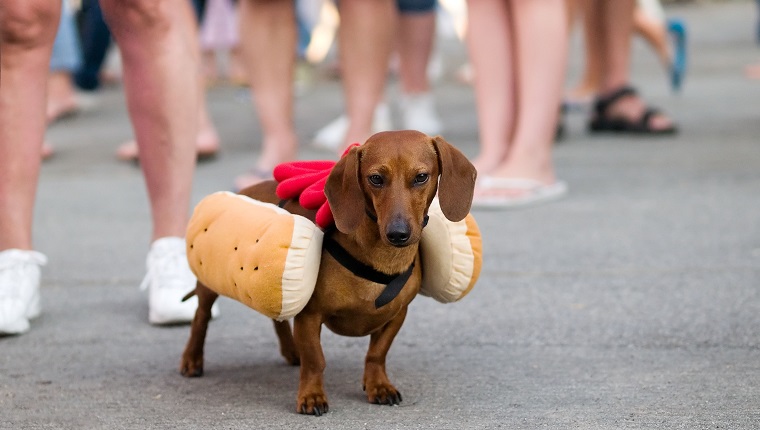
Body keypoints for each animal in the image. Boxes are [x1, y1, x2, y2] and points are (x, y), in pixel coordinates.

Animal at [179, 130, 476, 414]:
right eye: (376, 178)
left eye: (421, 177)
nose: (398, 234)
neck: (381, 258)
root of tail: (247, 189)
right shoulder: (310, 316)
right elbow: (315, 361)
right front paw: (312, 396)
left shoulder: (397, 315)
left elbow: (377, 354)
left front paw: (379, 385)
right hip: (211, 285)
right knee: (201, 317)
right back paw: (192, 359)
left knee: (277, 318)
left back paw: (291, 350)